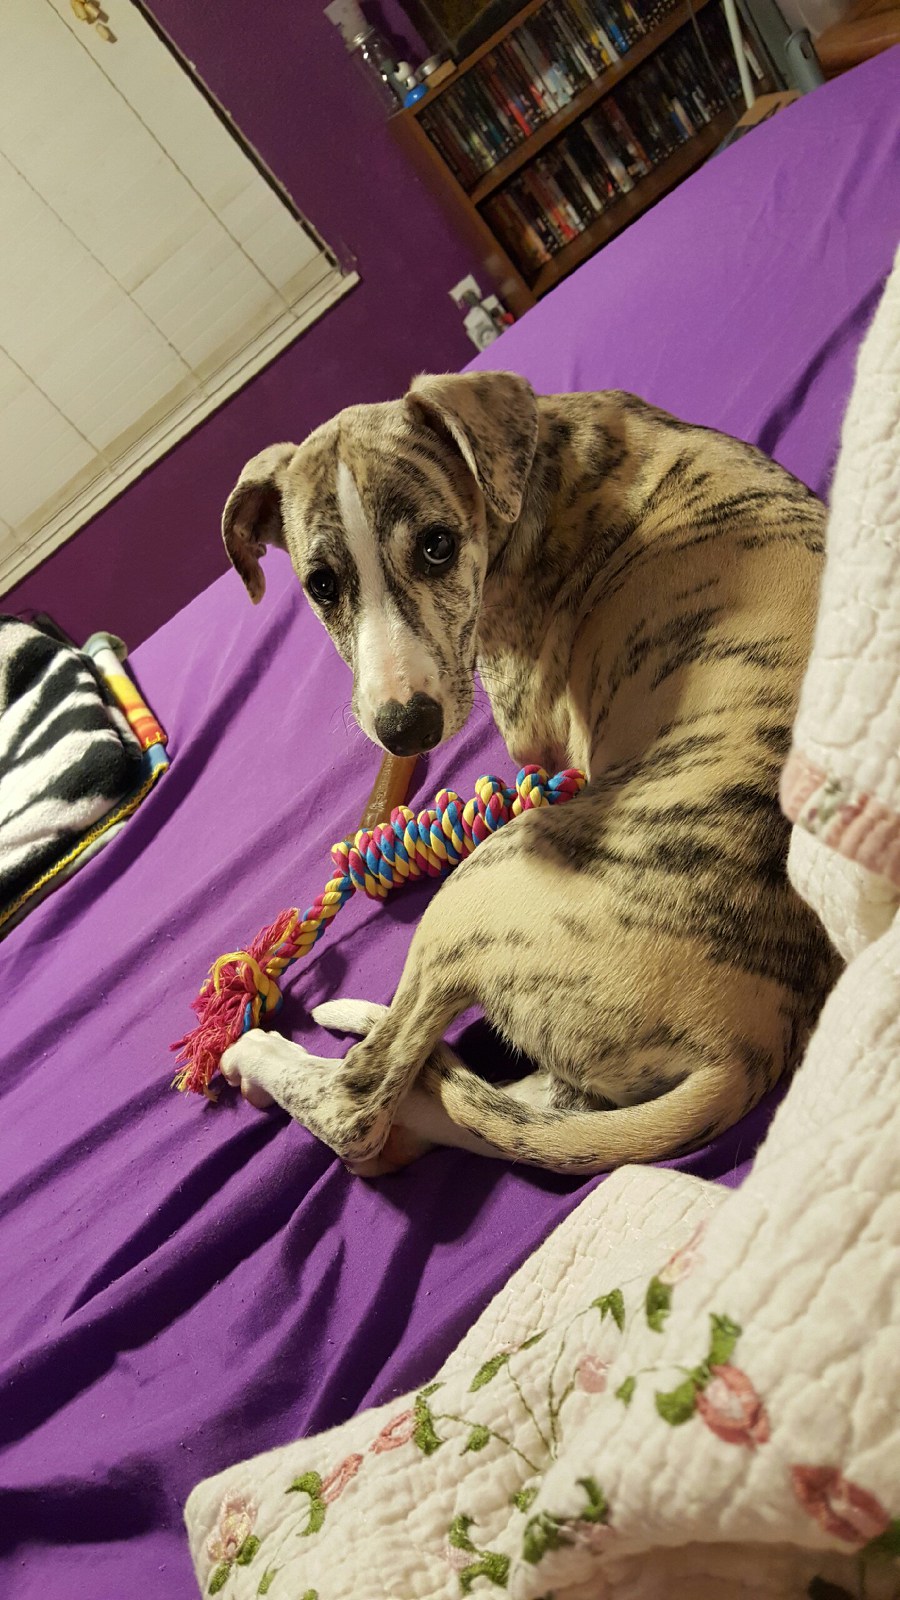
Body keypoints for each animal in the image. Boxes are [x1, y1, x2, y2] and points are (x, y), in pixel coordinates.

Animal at [217, 371, 832, 1177]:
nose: (405, 729)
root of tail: (751, 1050)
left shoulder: (534, 735)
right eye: (320, 584)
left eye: (438, 546)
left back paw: (264, 1056)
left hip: (477, 889)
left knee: (365, 1110)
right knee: (502, 1115)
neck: (531, 472)